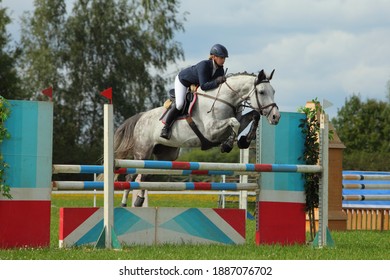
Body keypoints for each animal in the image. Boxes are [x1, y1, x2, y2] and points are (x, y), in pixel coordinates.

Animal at [112, 69, 280, 207]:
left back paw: (139, 200)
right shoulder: (211, 130)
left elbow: (253, 115)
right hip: (142, 153)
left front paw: (245, 140)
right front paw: (227, 145)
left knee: (145, 175)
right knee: (132, 176)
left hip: (166, 155)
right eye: (262, 92)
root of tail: (141, 117)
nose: (276, 117)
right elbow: (235, 122)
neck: (225, 99)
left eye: (273, 91)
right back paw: (124, 203)